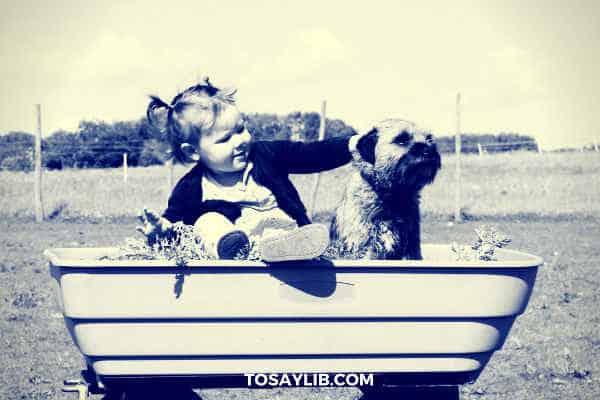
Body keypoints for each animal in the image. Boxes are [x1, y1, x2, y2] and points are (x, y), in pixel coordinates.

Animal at [328, 119, 440, 260]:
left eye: (429, 139)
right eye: (401, 140)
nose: (429, 151)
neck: (394, 195)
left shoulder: (410, 249)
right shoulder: (364, 249)